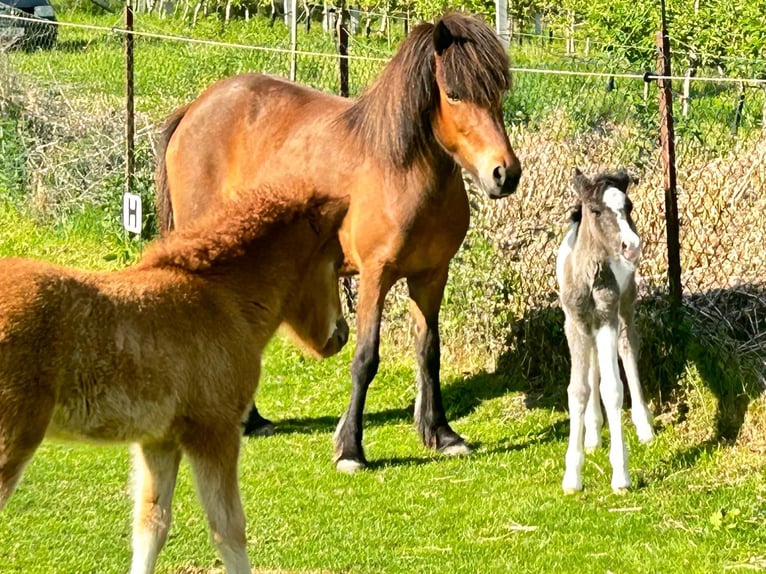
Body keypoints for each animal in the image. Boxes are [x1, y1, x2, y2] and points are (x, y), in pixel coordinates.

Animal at [0, 188, 347, 574]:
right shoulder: (215, 431)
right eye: (337, 262)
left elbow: (151, 523)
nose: (342, 335)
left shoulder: (159, 441)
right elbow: (229, 529)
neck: (224, 298)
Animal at [155, 12, 522, 473]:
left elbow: (429, 351)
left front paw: (441, 434)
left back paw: (252, 420)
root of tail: (195, 109)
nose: (505, 174)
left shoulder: (431, 276)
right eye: (454, 94)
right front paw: (351, 448)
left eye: (498, 92)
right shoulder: (374, 275)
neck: (401, 170)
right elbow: (366, 358)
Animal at [556, 169, 655, 494]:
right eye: (596, 210)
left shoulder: (607, 315)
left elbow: (612, 388)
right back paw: (593, 434)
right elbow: (578, 390)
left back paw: (644, 426)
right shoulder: (575, 323)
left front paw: (621, 475)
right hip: (590, 326)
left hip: (624, 305)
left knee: (627, 346)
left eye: (629, 207)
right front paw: (572, 477)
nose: (631, 246)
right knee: (594, 364)